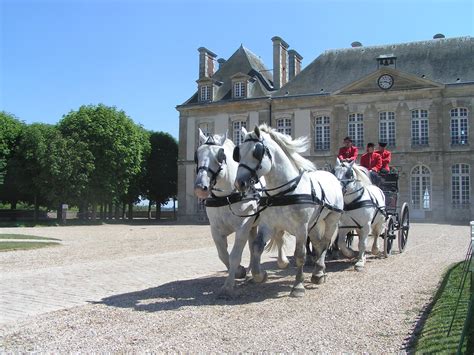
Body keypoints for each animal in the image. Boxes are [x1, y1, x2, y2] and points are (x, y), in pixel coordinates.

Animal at [193, 129, 288, 298]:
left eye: (221, 155)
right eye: (197, 154)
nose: (200, 187)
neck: (227, 196)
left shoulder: (243, 226)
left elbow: (235, 255)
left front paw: (228, 287)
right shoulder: (215, 229)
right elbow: (223, 254)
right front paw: (239, 271)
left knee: (279, 237)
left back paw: (281, 262)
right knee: (254, 246)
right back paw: (253, 272)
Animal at [234, 125, 342, 298]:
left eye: (256, 152)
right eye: (238, 152)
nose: (240, 183)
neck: (283, 192)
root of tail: (330, 174)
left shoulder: (301, 228)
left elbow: (300, 255)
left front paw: (298, 286)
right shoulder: (269, 225)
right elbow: (257, 246)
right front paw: (259, 275)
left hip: (332, 219)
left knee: (325, 243)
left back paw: (319, 273)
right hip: (314, 224)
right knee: (318, 244)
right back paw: (319, 271)